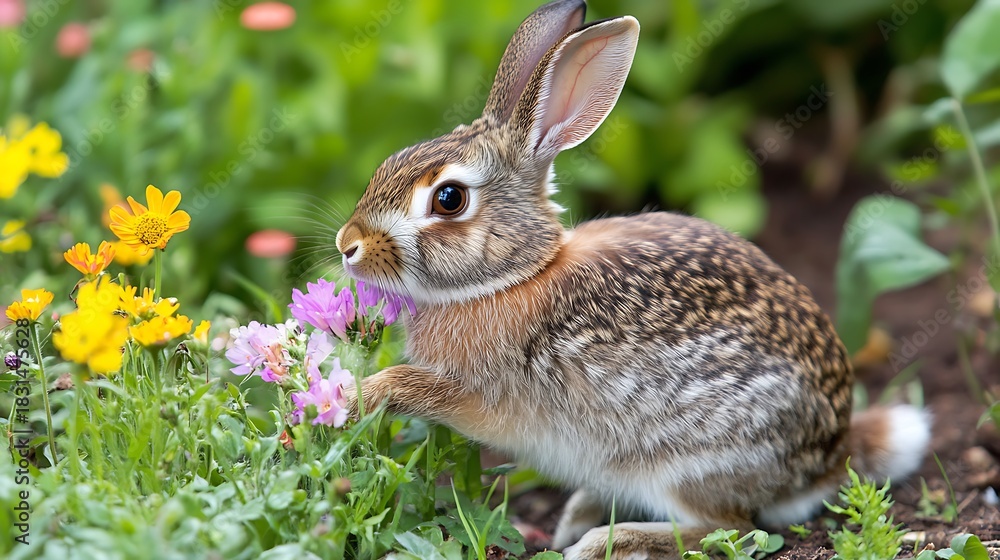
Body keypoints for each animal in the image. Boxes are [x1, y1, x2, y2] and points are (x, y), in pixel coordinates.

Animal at [335, 1, 931, 558]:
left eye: (448, 199)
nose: (348, 245)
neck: (514, 276)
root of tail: (829, 455)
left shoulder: (481, 396)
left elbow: (417, 387)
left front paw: (357, 396)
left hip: (686, 461)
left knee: (729, 528)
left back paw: (603, 540)